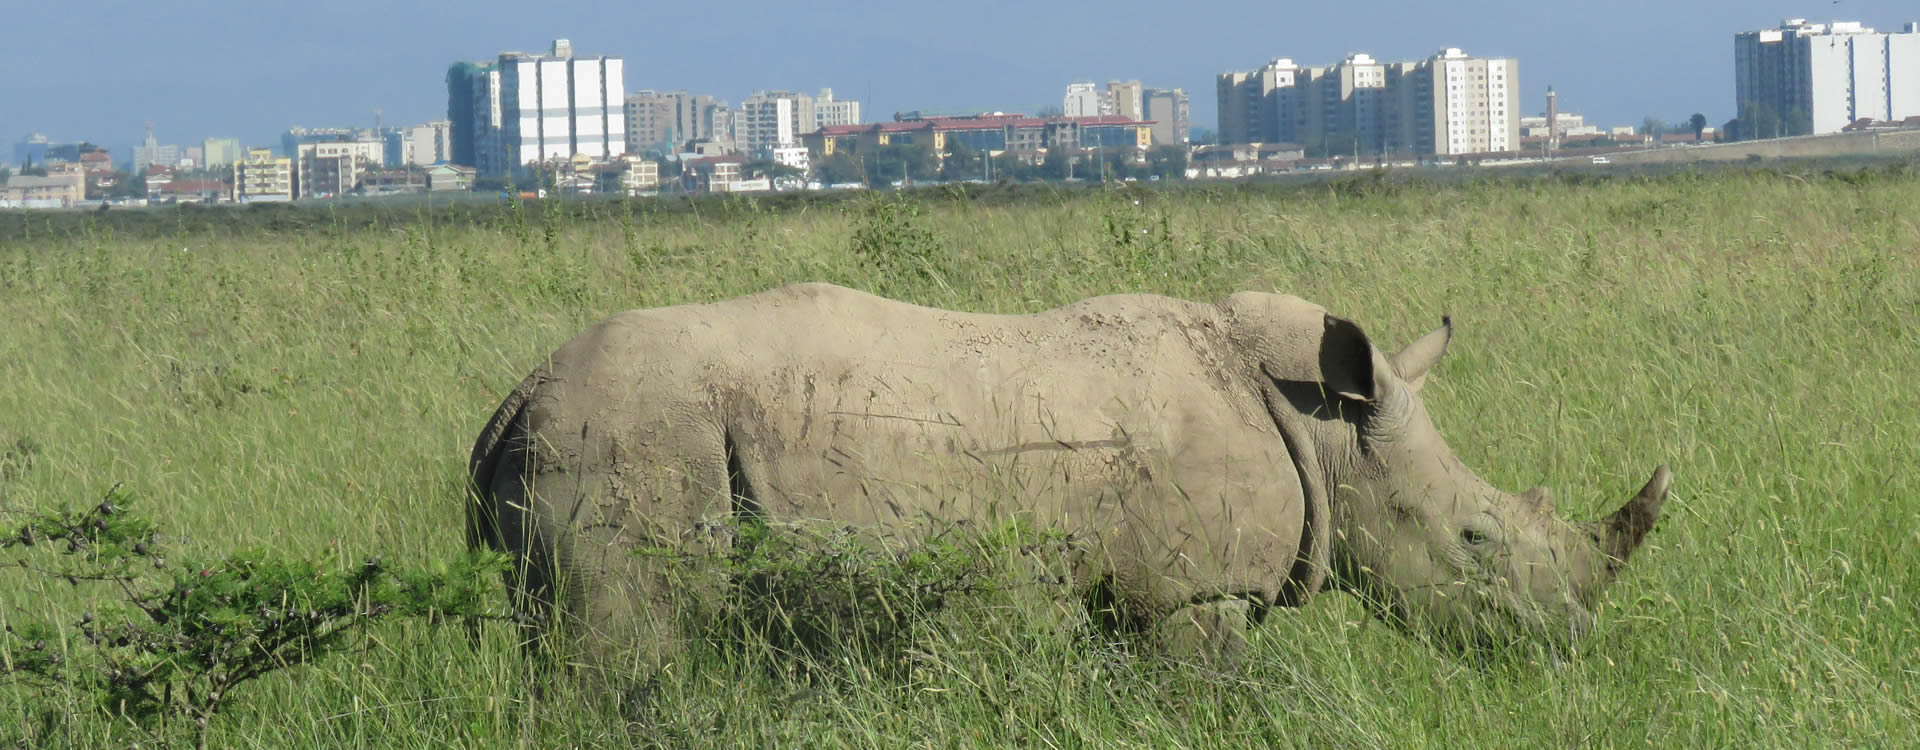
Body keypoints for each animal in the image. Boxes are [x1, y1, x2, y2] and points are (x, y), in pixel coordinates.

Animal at [464, 280, 1666, 675]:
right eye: (1474, 542)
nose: (1568, 645)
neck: (1326, 425)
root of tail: (509, 402)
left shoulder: (1131, 593)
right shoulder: (1194, 594)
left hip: (590, 439)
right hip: (625, 441)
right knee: (632, 655)